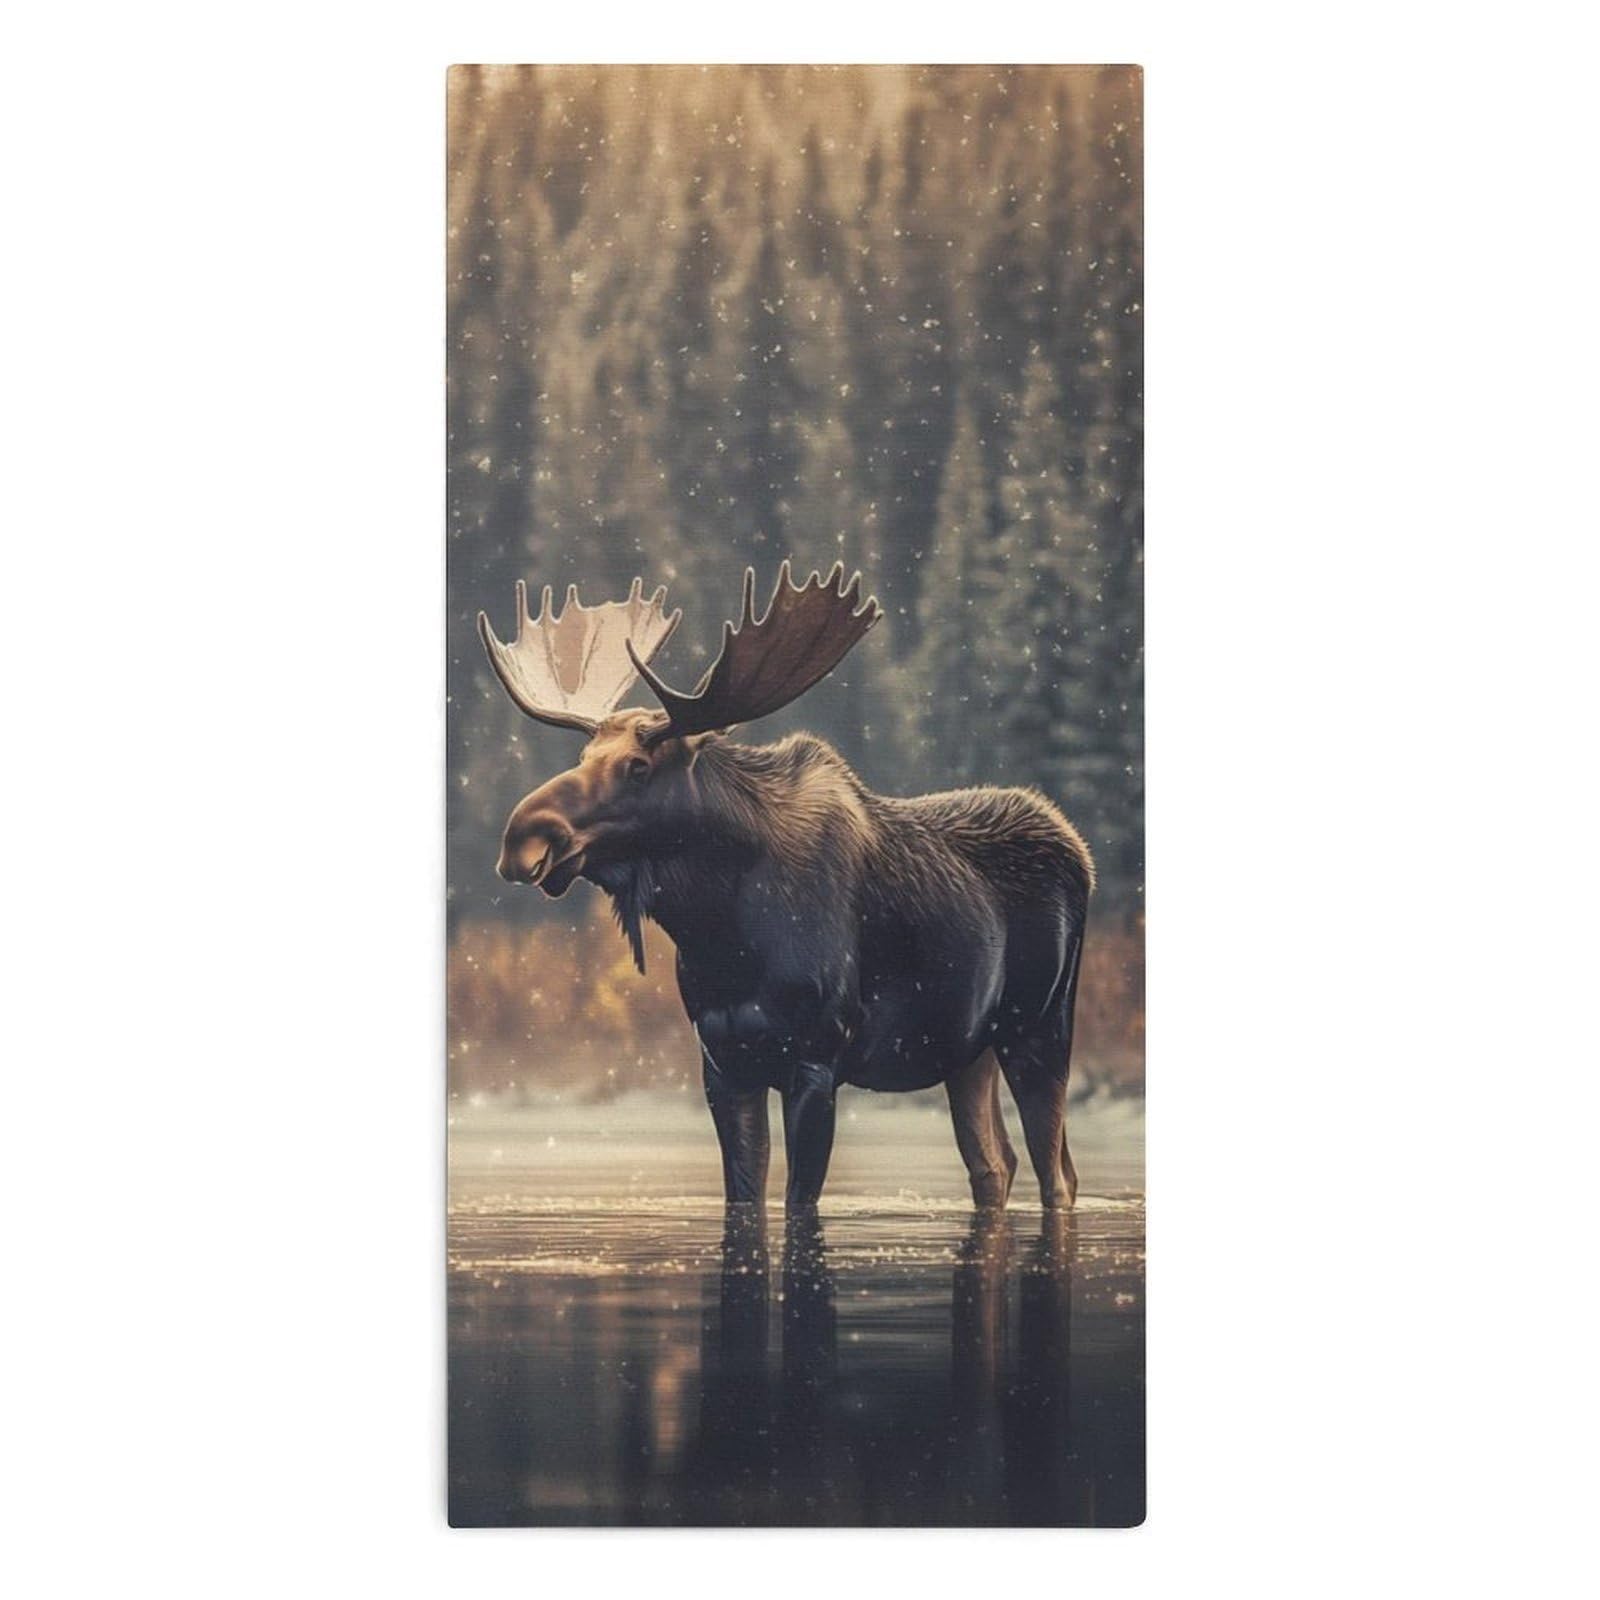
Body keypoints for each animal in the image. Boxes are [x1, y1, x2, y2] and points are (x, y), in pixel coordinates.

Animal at [478, 563, 1094, 1213]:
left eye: (638, 767)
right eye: (583, 753)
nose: (522, 837)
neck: (722, 936)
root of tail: (1077, 846)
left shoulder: (816, 1059)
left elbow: (800, 1201)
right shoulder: (722, 1064)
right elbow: (745, 1196)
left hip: (1040, 1026)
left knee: (1056, 1172)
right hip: (968, 1048)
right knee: (994, 1163)